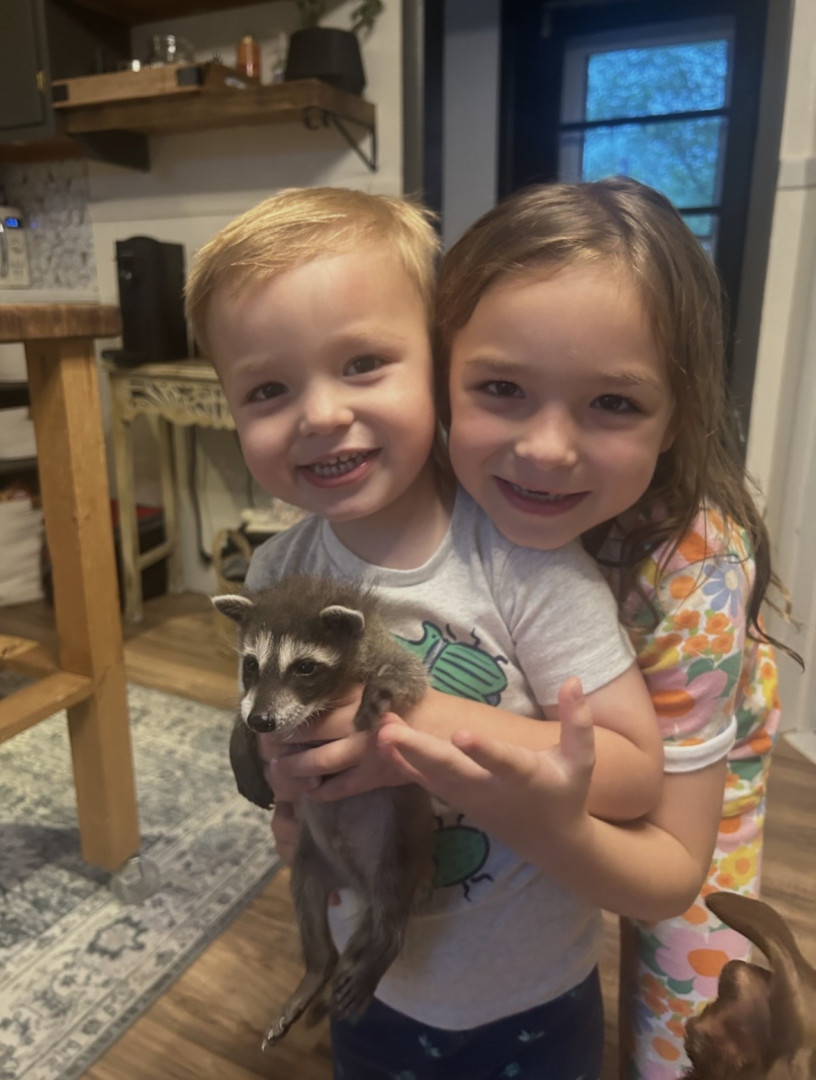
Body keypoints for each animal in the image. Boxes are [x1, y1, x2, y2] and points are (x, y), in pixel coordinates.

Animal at [214, 575, 434, 1050]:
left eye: (304, 668)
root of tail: (356, 884)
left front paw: (381, 690)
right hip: (311, 860)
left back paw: (382, 950)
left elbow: (410, 675)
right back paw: (317, 968)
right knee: (309, 908)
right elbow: (242, 706)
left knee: (392, 912)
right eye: (251, 664)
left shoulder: (381, 648)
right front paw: (239, 738)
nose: (261, 723)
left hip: (400, 850)